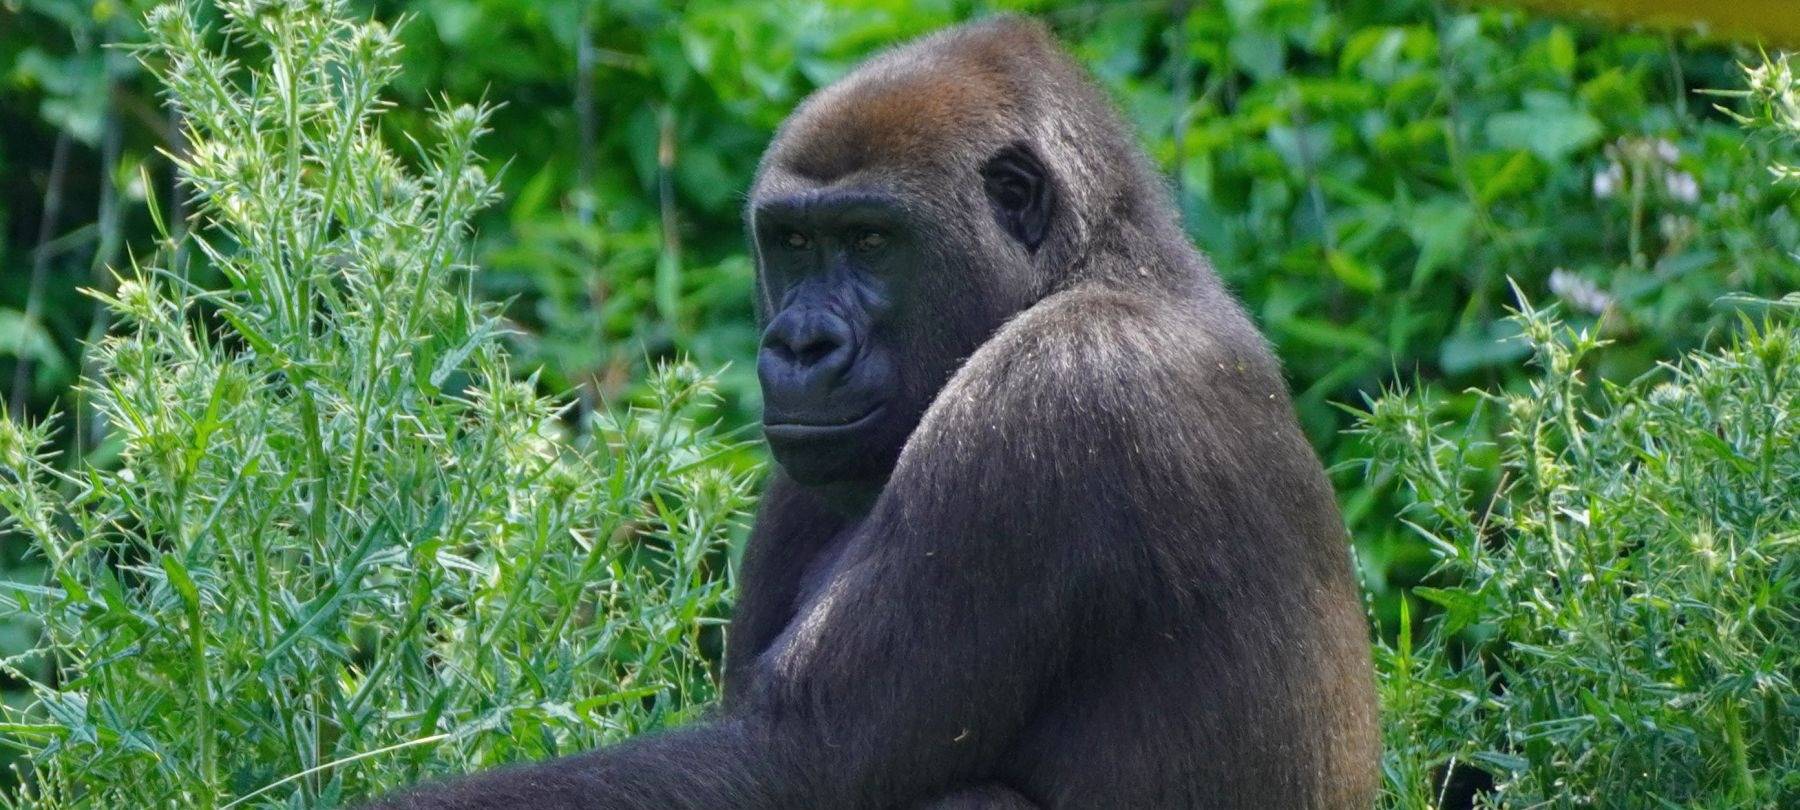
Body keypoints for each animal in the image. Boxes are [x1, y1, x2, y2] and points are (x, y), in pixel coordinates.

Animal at [372, 14, 1378, 809]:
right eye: (791, 242)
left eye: (868, 241)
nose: (799, 344)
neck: (1097, 263)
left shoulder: (1062, 392)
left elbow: (794, 763)